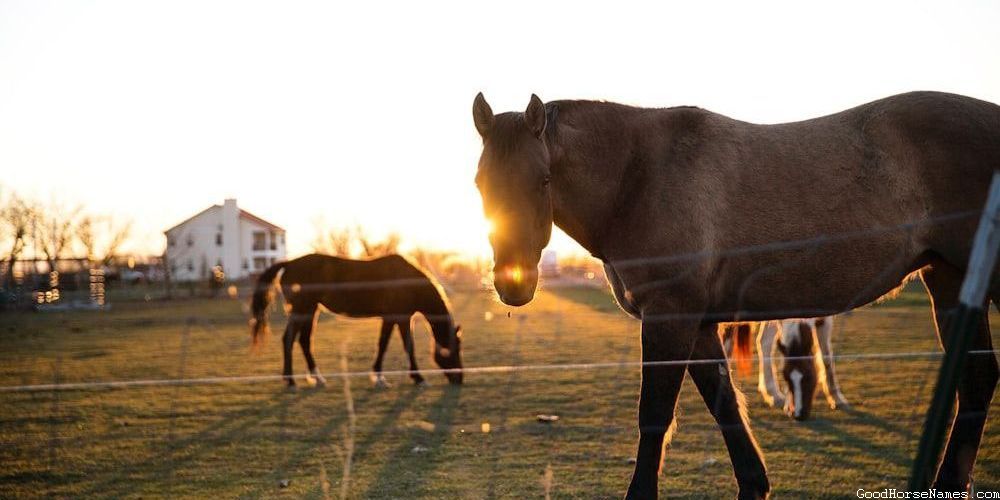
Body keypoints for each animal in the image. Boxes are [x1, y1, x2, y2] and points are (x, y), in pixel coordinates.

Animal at [250, 253, 464, 388]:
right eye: (453, 350)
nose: (459, 378)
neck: (406, 281)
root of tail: (290, 263)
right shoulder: (400, 318)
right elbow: (405, 346)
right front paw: (417, 378)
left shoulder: (392, 318)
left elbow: (383, 344)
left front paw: (379, 377)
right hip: (302, 310)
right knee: (289, 339)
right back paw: (291, 381)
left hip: (310, 310)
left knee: (303, 341)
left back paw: (317, 378)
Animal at [471, 91, 999, 498]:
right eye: (480, 184)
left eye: (543, 180)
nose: (513, 284)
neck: (639, 177)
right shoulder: (699, 324)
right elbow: (724, 403)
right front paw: (755, 483)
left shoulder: (669, 319)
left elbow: (655, 416)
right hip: (949, 280)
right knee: (977, 380)